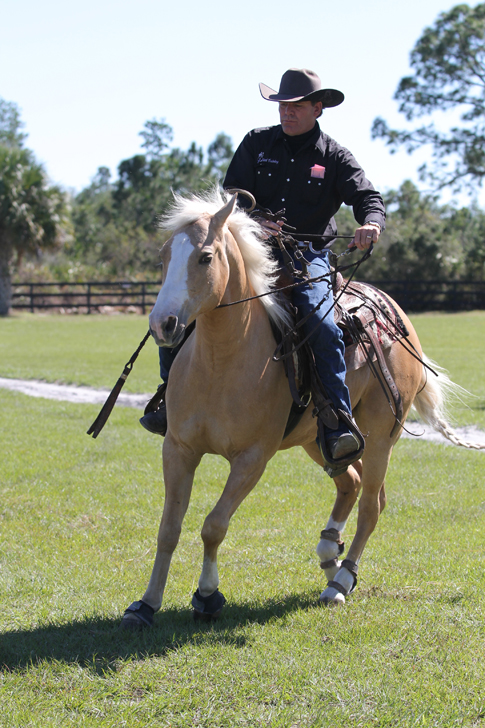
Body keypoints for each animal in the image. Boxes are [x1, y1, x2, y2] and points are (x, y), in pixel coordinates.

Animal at [121, 191, 476, 628]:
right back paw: (329, 555)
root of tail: (395, 313)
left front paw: (207, 595)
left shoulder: (252, 459)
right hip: (322, 438)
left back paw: (340, 581)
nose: (163, 324)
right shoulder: (178, 449)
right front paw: (146, 603)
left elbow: (213, 526)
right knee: (352, 482)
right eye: (164, 256)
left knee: (371, 505)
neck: (222, 360)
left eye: (205, 257)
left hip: (381, 436)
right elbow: (169, 528)